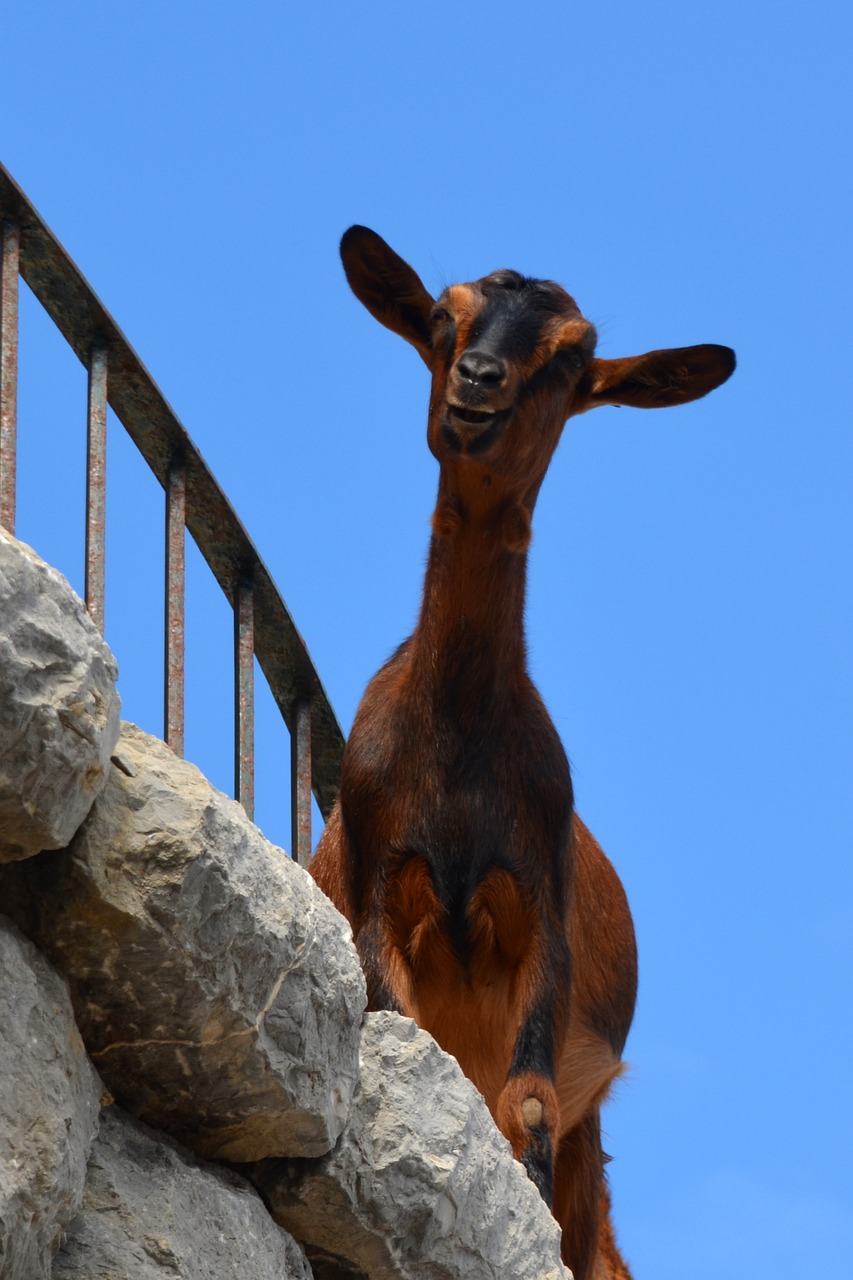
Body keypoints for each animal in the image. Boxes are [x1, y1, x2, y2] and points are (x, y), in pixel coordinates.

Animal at [308, 230, 732, 1280]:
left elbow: (527, 1112)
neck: (460, 748)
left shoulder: (541, 929)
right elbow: (417, 1055)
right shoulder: (380, 897)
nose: (479, 381)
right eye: (440, 316)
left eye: (574, 359)